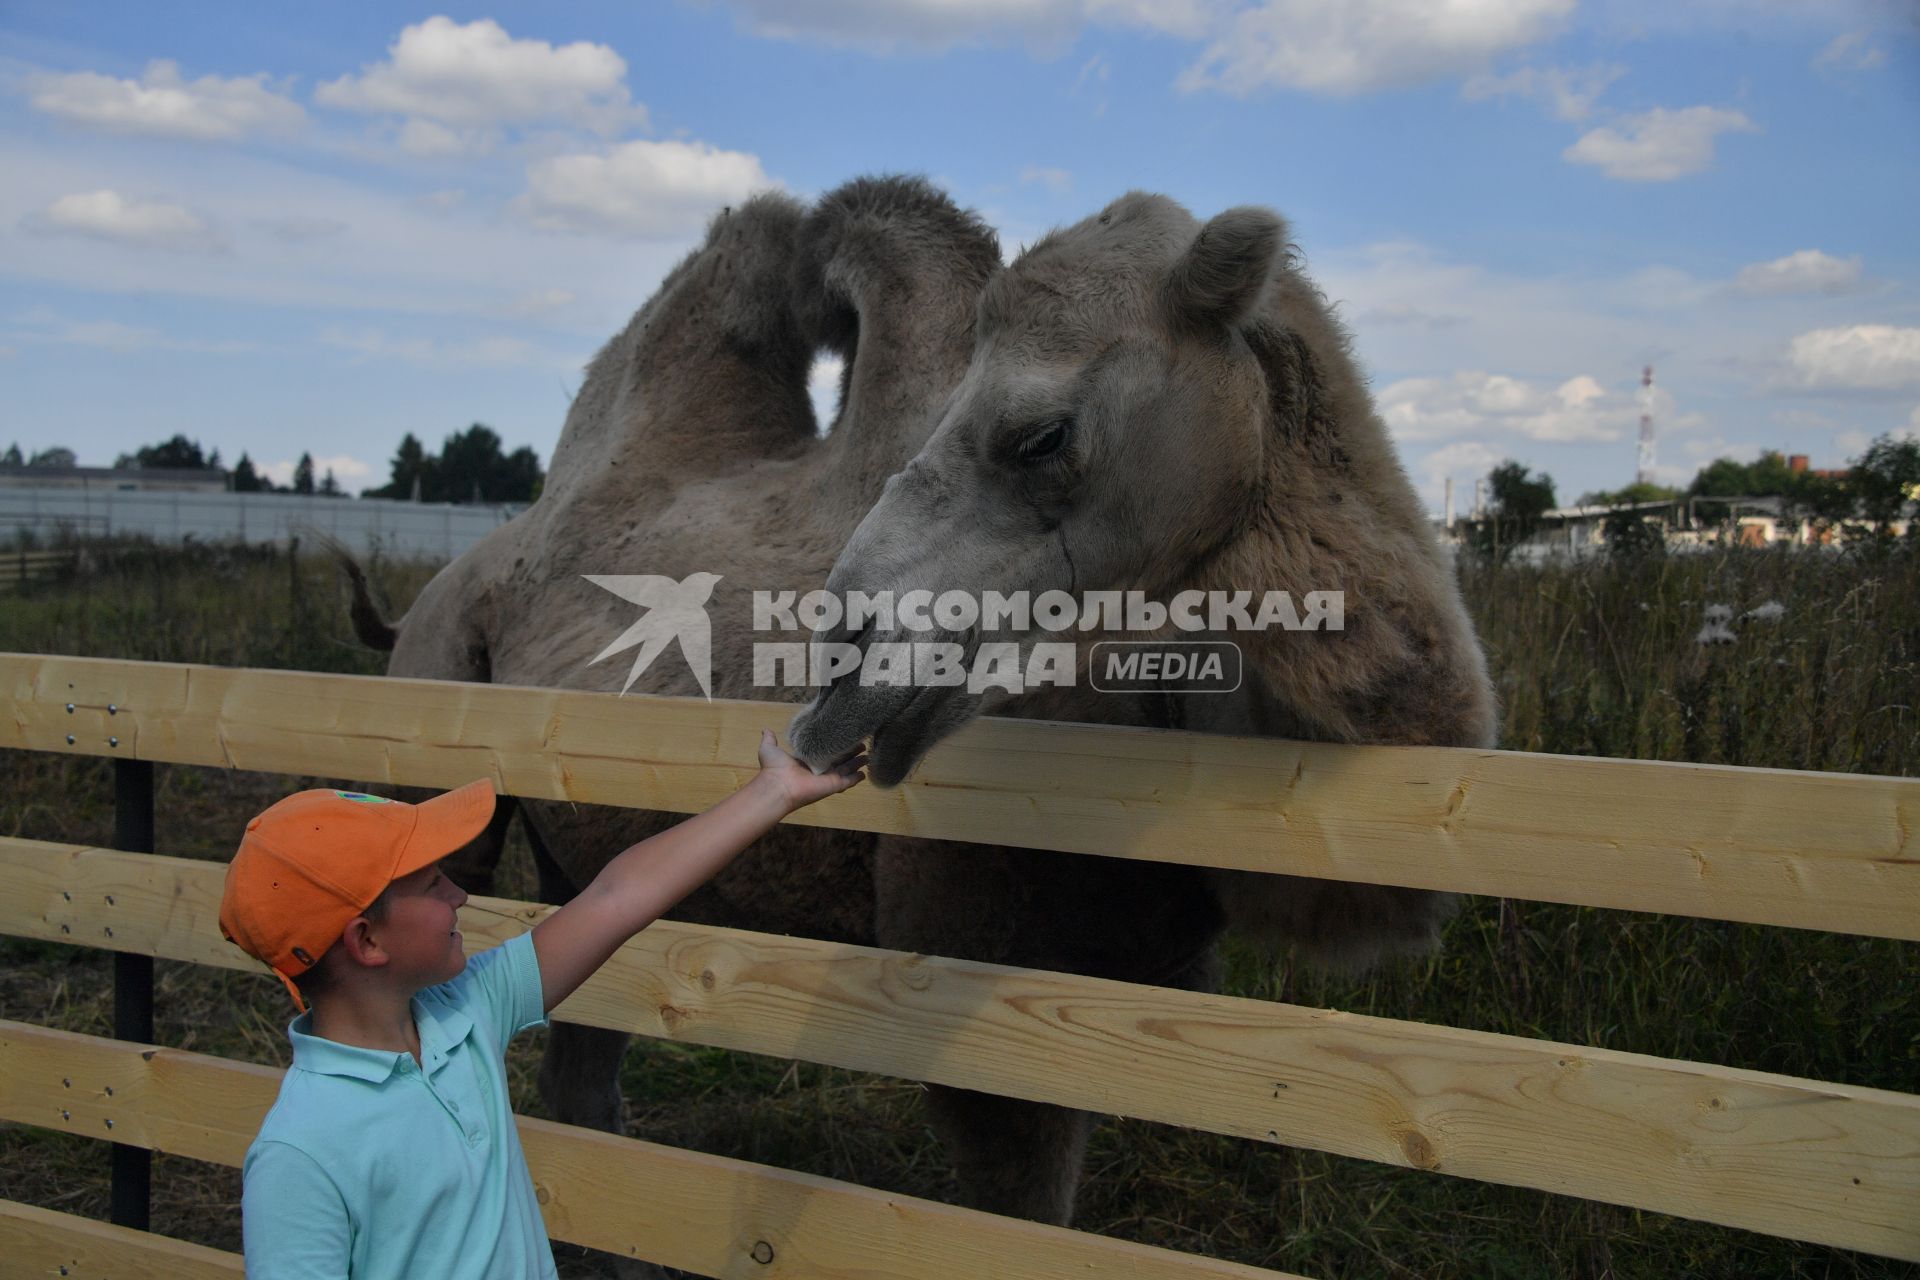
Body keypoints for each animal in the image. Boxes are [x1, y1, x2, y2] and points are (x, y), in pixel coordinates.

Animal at [349, 175, 1497, 1235]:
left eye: (1043, 436)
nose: (841, 656)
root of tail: (438, 590)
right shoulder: (982, 973)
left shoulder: (1135, 970)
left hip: (574, 855)